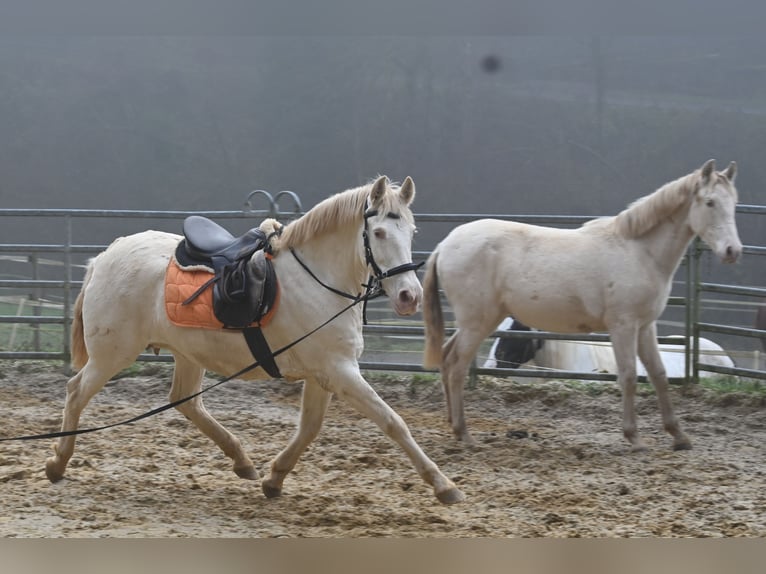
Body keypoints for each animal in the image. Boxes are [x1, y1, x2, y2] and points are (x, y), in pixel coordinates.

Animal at [51, 176, 468, 504]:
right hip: (113, 354)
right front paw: (444, 485)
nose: (409, 297)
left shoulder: (325, 374)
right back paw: (58, 462)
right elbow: (393, 422)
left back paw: (243, 461)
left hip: (187, 354)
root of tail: (105, 257)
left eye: (411, 232)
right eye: (378, 233)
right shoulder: (339, 371)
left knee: (186, 402)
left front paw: (274, 478)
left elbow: (310, 427)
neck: (318, 279)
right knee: (76, 392)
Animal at [426, 160, 744, 452]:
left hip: (476, 322)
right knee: (457, 366)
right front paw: (634, 437)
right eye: (710, 202)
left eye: (733, 203)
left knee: (447, 357)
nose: (732, 251)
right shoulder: (623, 326)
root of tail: (444, 245)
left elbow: (658, 374)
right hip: (478, 321)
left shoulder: (645, 326)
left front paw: (679, 436)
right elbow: (629, 376)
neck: (639, 251)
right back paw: (465, 434)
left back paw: (453, 427)